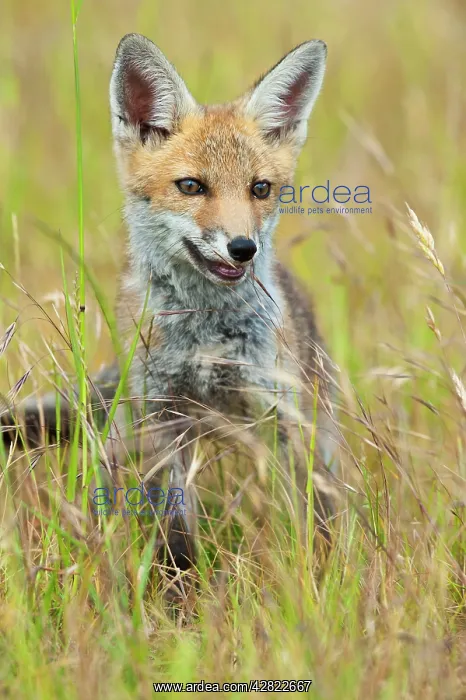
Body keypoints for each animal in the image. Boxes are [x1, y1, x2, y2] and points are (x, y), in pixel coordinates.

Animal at [1, 34, 339, 582]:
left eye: (260, 189)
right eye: (191, 186)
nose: (243, 248)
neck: (206, 340)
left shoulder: (277, 411)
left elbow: (311, 514)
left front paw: (319, 576)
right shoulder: (162, 419)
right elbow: (174, 533)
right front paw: (180, 595)